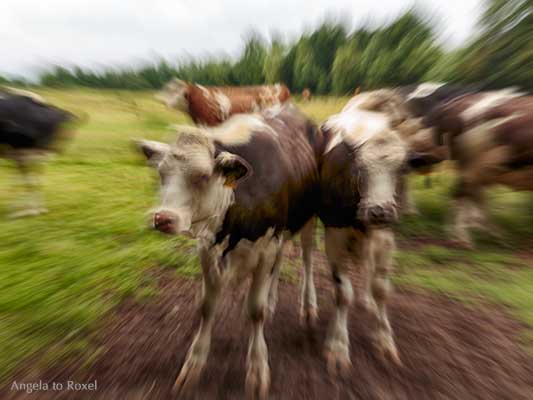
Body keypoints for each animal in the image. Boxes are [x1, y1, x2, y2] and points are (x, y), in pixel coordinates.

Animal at [0, 88, 78, 219]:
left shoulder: (27, 154)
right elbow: (28, 182)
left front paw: (31, 211)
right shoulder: (23, 154)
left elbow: (30, 182)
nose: (58, 149)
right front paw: (29, 210)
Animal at [135, 104, 322, 398]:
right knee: (282, 259)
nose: (163, 218)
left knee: (307, 257)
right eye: (162, 173)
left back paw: (307, 304)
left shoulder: (266, 246)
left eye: (202, 175)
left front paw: (257, 367)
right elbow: (206, 306)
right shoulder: (207, 249)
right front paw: (194, 362)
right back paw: (272, 298)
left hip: (309, 216)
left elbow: (255, 310)